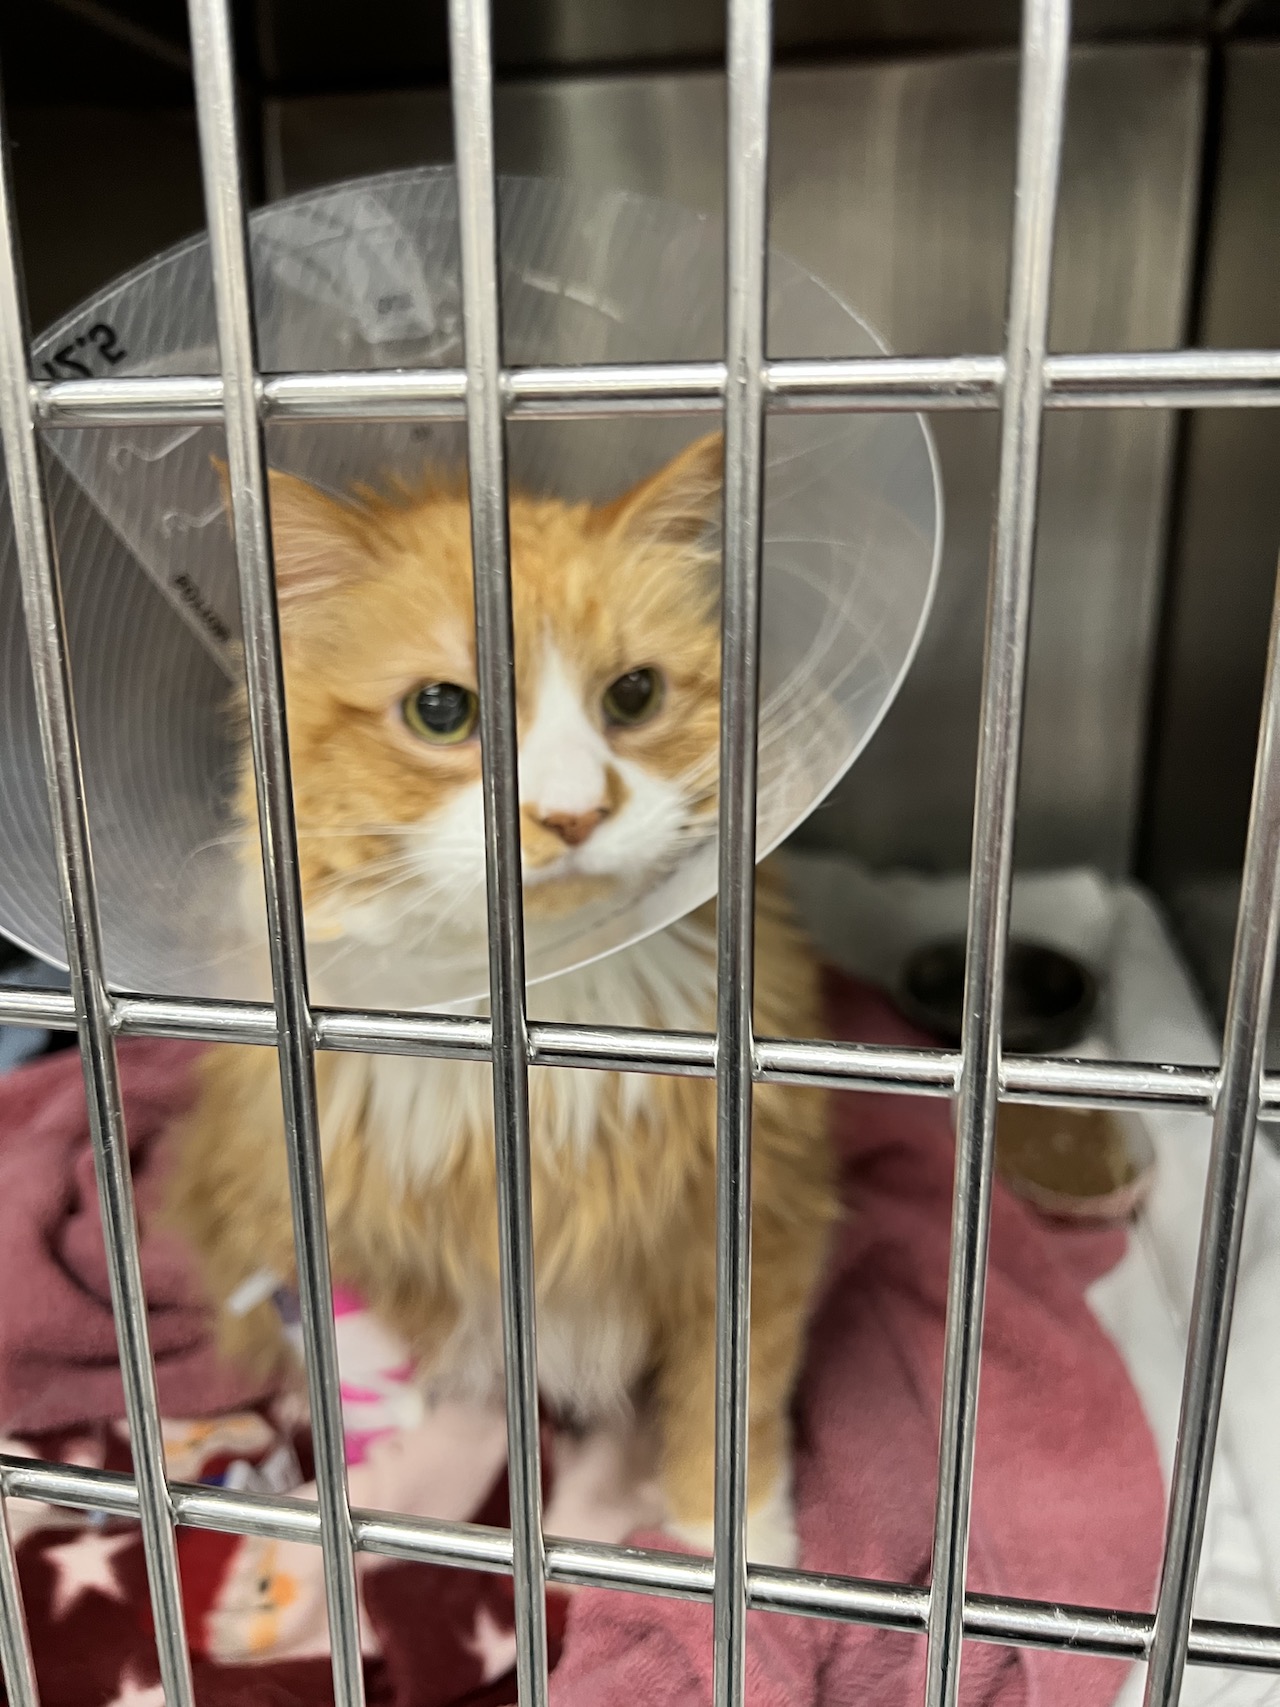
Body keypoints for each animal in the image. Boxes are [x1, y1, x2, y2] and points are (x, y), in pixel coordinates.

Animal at [165, 433, 836, 1563]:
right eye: (443, 711)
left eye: (633, 696)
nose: (569, 815)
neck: (547, 1034)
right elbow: (399, 1375)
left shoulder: (758, 1217)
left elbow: (729, 1415)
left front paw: (742, 1556)